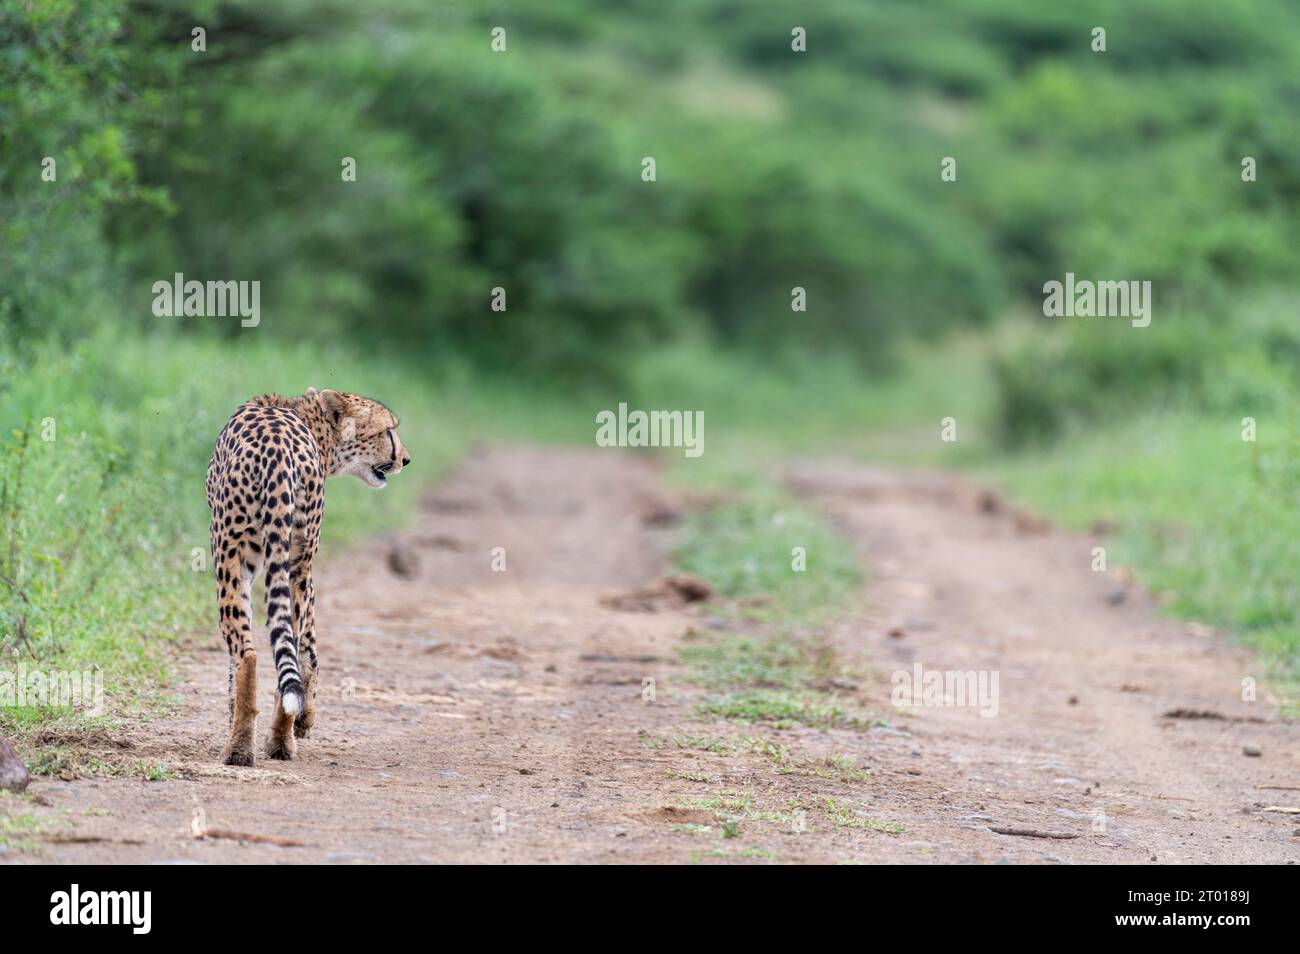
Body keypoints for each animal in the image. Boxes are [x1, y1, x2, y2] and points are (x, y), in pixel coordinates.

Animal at [205, 389, 408, 769]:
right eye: (388, 430)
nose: (405, 459)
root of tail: (278, 451)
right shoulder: (301, 565)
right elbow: (307, 649)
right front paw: (303, 718)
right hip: (287, 562)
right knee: (286, 651)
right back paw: (278, 741)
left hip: (230, 561)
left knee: (247, 654)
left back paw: (241, 748)